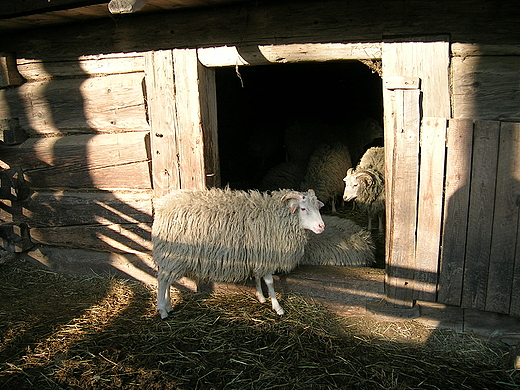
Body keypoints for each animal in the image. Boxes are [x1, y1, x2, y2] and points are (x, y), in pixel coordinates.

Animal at [150, 187, 328, 318]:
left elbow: (257, 276)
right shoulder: (266, 255)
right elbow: (270, 282)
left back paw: (168, 305)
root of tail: (162, 206)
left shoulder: (257, 254)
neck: (276, 217)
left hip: (172, 257)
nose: (321, 227)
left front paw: (261, 297)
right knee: (162, 280)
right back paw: (163, 311)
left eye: (317, 208)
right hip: (173, 253)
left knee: (166, 279)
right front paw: (277, 307)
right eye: (303, 208)